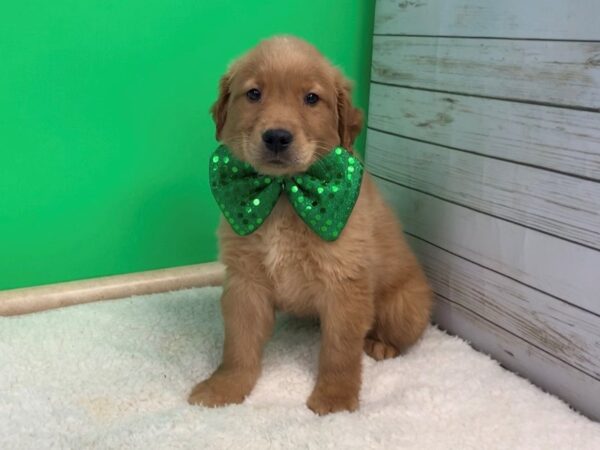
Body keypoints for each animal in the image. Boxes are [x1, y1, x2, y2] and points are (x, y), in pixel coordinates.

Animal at [190, 35, 428, 414]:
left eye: (312, 99)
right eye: (254, 93)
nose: (276, 137)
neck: (283, 193)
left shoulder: (344, 282)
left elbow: (339, 351)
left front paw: (335, 400)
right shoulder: (245, 280)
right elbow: (239, 344)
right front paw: (224, 389)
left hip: (405, 306)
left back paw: (382, 345)